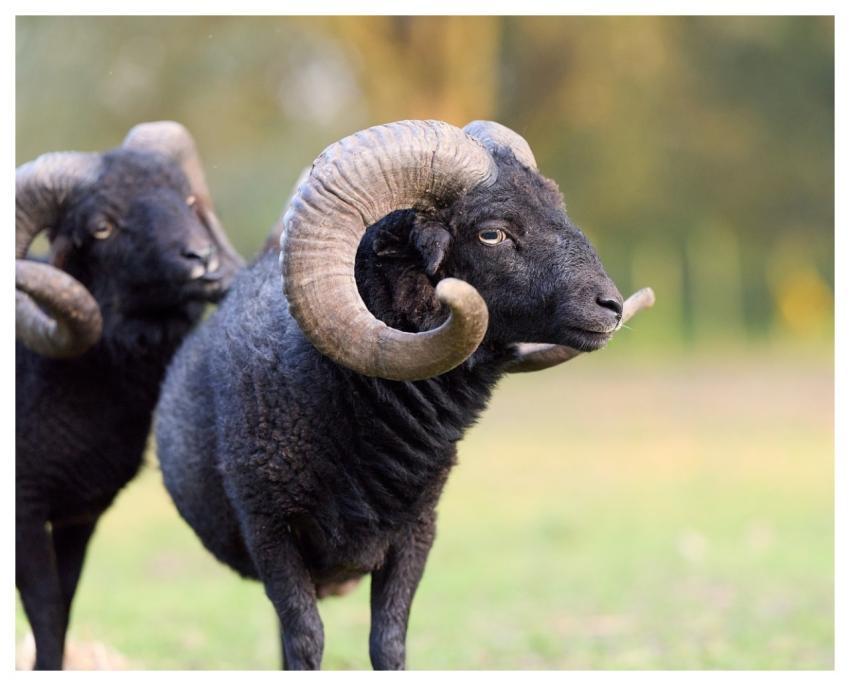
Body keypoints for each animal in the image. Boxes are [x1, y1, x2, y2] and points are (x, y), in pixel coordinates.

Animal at [15, 121, 244, 670]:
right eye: (102, 227)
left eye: (187, 198)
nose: (202, 260)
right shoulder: (24, 513)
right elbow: (47, 614)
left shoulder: (79, 516)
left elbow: (64, 607)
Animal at [155, 120, 654, 670]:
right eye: (492, 232)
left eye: (555, 205)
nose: (609, 306)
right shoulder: (271, 536)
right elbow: (306, 641)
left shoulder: (416, 534)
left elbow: (389, 641)